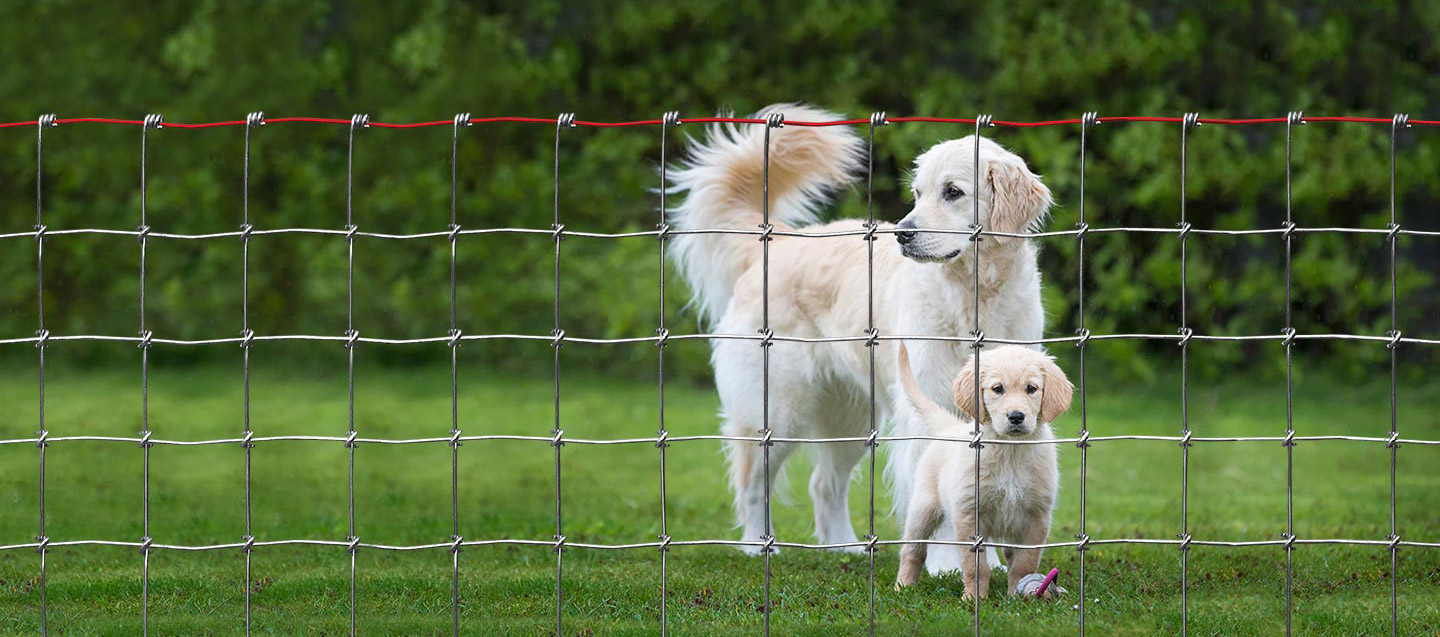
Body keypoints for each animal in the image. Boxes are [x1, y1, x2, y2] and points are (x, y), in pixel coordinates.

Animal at [892, 343, 1077, 596]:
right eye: (997, 389)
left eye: (1031, 388)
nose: (1016, 417)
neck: (1009, 451)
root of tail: (950, 428)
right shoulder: (970, 515)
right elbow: (975, 565)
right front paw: (973, 596)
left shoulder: (1036, 517)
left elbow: (1025, 563)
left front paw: (1016, 594)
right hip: (923, 507)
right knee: (912, 549)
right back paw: (903, 585)